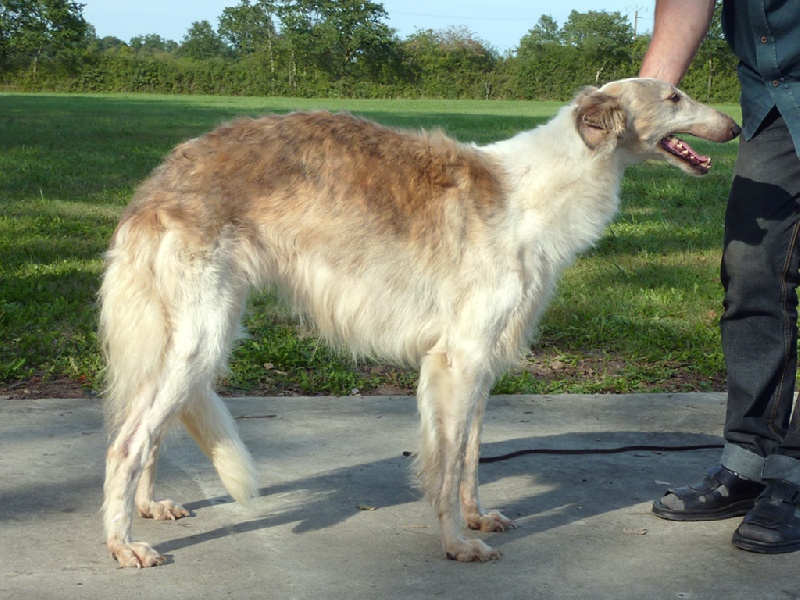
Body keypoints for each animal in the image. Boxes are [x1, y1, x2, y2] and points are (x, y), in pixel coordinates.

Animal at [101, 81, 744, 568]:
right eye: (675, 95)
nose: (736, 126)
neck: (533, 192)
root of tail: (162, 176)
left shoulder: (481, 361)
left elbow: (469, 458)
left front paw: (477, 519)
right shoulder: (457, 359)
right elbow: (446, 461)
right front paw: (457, 544)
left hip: (183, 338)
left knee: (150, 430)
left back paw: (149, 509)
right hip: (202, 335)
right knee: (127, 442)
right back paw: (122, 543)